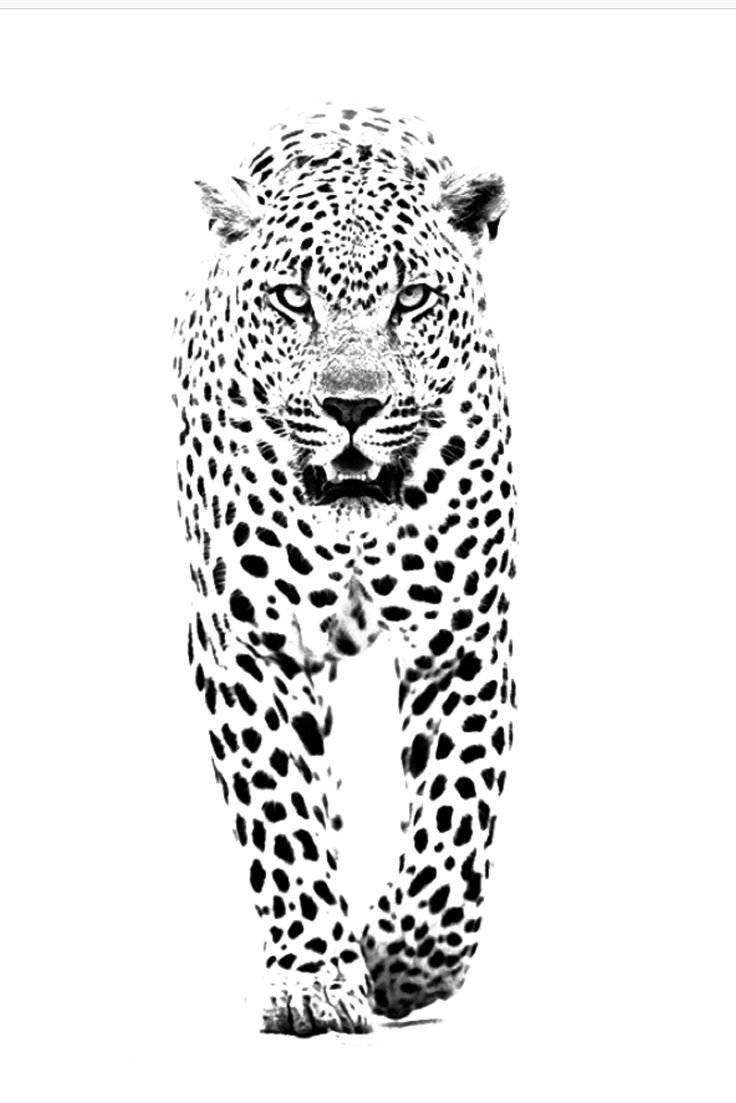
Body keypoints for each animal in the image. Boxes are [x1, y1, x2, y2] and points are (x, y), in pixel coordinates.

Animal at [172, 104, 517, 1037]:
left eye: (411, 299)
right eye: (295, 299)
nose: (352, 408)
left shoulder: (462, 641)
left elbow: (454, 830)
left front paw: (399, 961)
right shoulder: (249, 643)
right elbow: (282, 812)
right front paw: (317, 978)